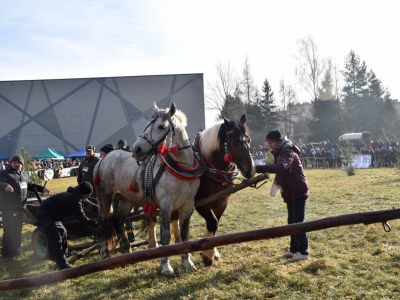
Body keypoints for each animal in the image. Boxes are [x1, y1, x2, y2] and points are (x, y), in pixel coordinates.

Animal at [93, 102, 200, 276]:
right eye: (147, 125)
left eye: (161, 126)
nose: (136, 149)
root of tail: (104, 158)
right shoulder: (165, 207)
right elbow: (165, 236)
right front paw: (166, 266)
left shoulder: (187, 206)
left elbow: (184, 235)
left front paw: (187, 262)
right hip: (105, 196)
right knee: (104, 221)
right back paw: (105, 253)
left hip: (126, 199)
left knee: (117, 219)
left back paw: (126, 250)